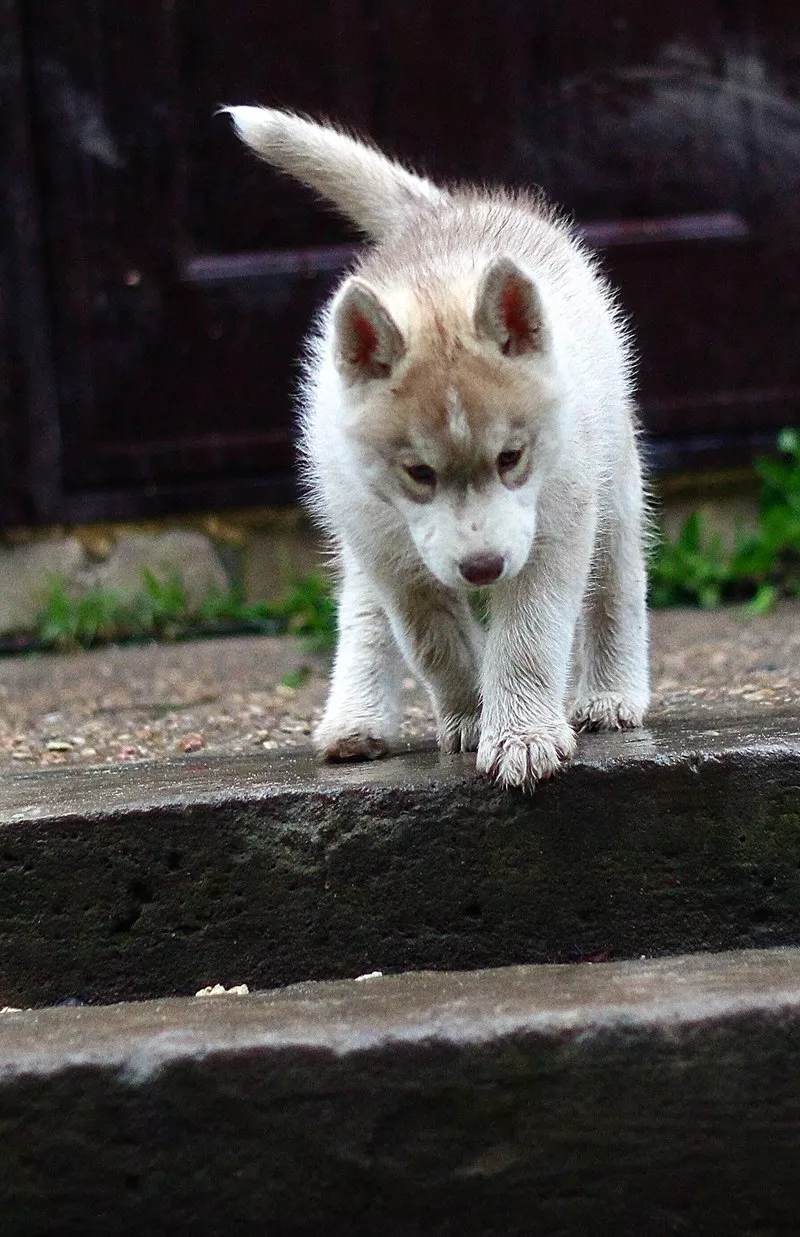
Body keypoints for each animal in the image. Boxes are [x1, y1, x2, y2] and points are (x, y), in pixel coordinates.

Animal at [225, 101, 652, 786]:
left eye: (511, 459)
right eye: (419, 473)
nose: (482, 569)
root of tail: (441, 213)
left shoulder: (555, 526)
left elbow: (529, 639)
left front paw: (522, 734)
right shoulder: (390, 549)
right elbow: (434, 643)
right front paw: (473, 714)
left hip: (612, 483)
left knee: (617, 582)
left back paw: (612, 694)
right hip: (364, 527)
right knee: (365, 612)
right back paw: (356, 720)